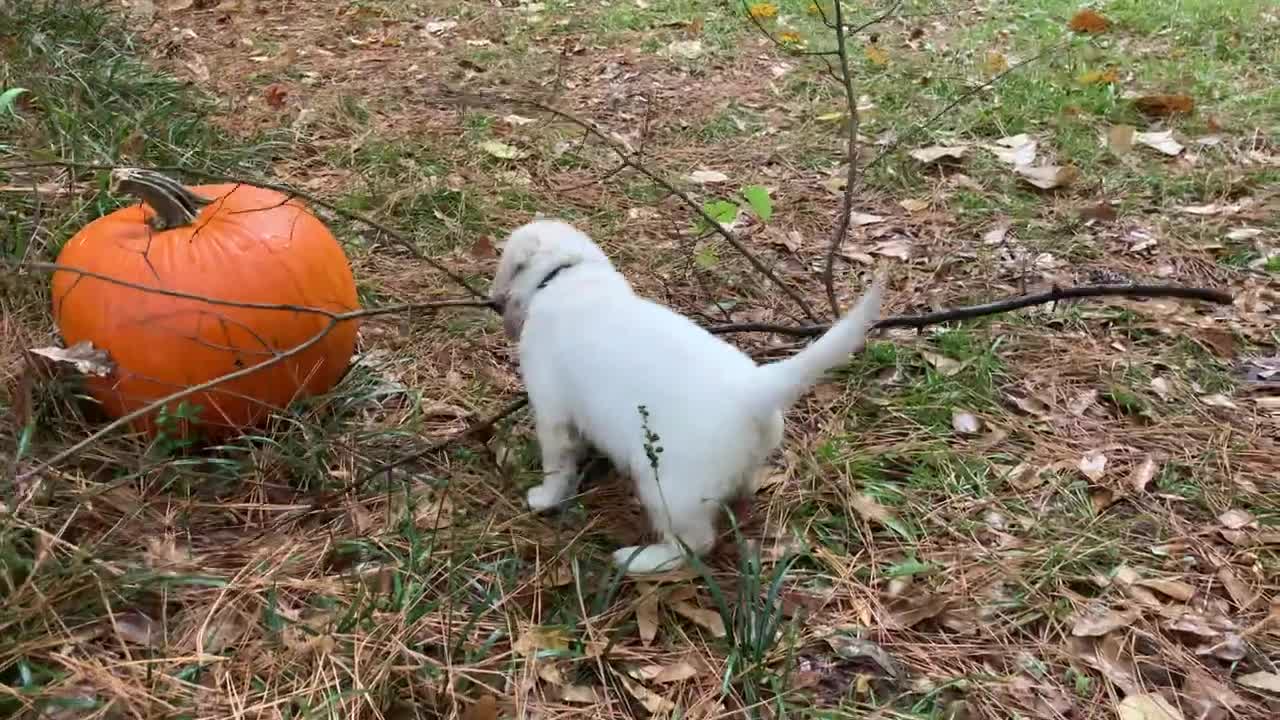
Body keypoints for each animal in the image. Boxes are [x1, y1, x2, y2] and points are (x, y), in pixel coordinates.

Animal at [483, 219, 885, 571]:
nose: (493, 302)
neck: (568, 273)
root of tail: (756, 388)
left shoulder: (552, 409)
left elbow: (557, 465)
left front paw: (545, 499)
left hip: (666, 486)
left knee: (696, 543)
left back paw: (639, 559)